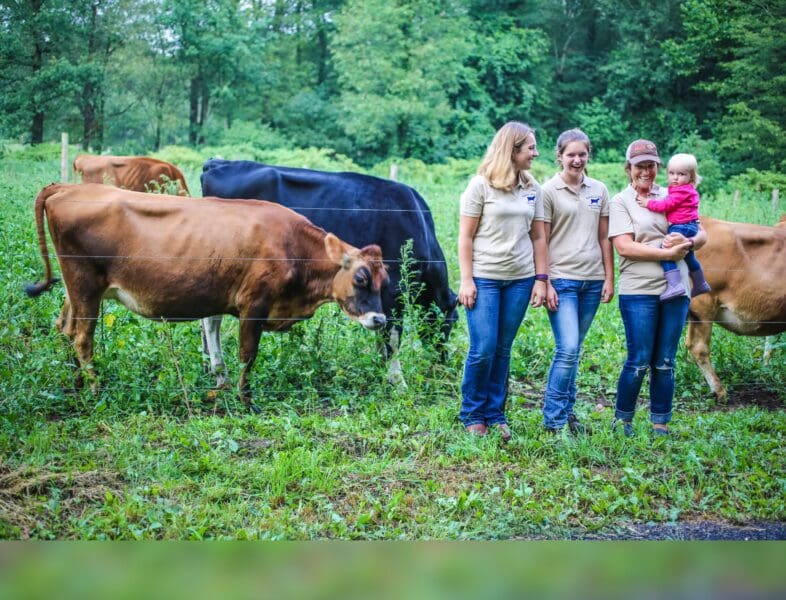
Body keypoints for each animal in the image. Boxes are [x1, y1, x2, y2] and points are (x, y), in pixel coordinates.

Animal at [20, 183, 382, 408]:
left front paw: (220, 388)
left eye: (385, 280)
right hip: (85, 285)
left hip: (76, 289)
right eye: (361, 278)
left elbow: (216, 344)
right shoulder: (254, 305)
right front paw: (246, 399)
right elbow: (247, 355)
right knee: (82, 338)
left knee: (65, 330)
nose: (380, 318)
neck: (293, 247)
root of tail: (67, 187)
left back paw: (77, 385)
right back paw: (95, 389)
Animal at [199, 159, 456, 384]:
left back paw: (208, 366)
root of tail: (217, 163)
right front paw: (397, 380)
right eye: (451, 322)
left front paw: (380, 367)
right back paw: (219, 372)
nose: (443, 361)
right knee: (212, 319)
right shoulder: (395, 288)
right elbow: (391, 336)